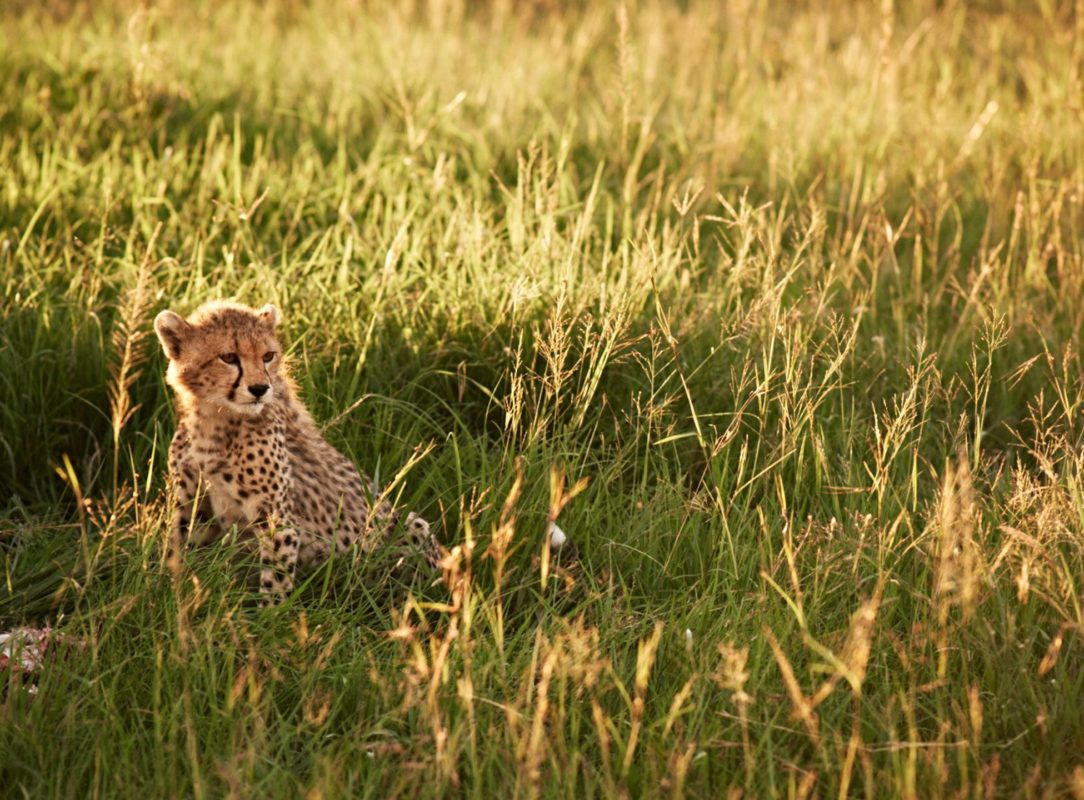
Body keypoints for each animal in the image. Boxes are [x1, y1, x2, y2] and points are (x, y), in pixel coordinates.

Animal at [153, 301, 440, 602]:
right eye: (228, 357)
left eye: (268, 356)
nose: (260, 388)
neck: (214, 418)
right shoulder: (192, 507)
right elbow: (178, 551)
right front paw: (166, 589)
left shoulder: (277, 517)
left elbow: (276, 579)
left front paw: (270, 611)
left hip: (411, 526)